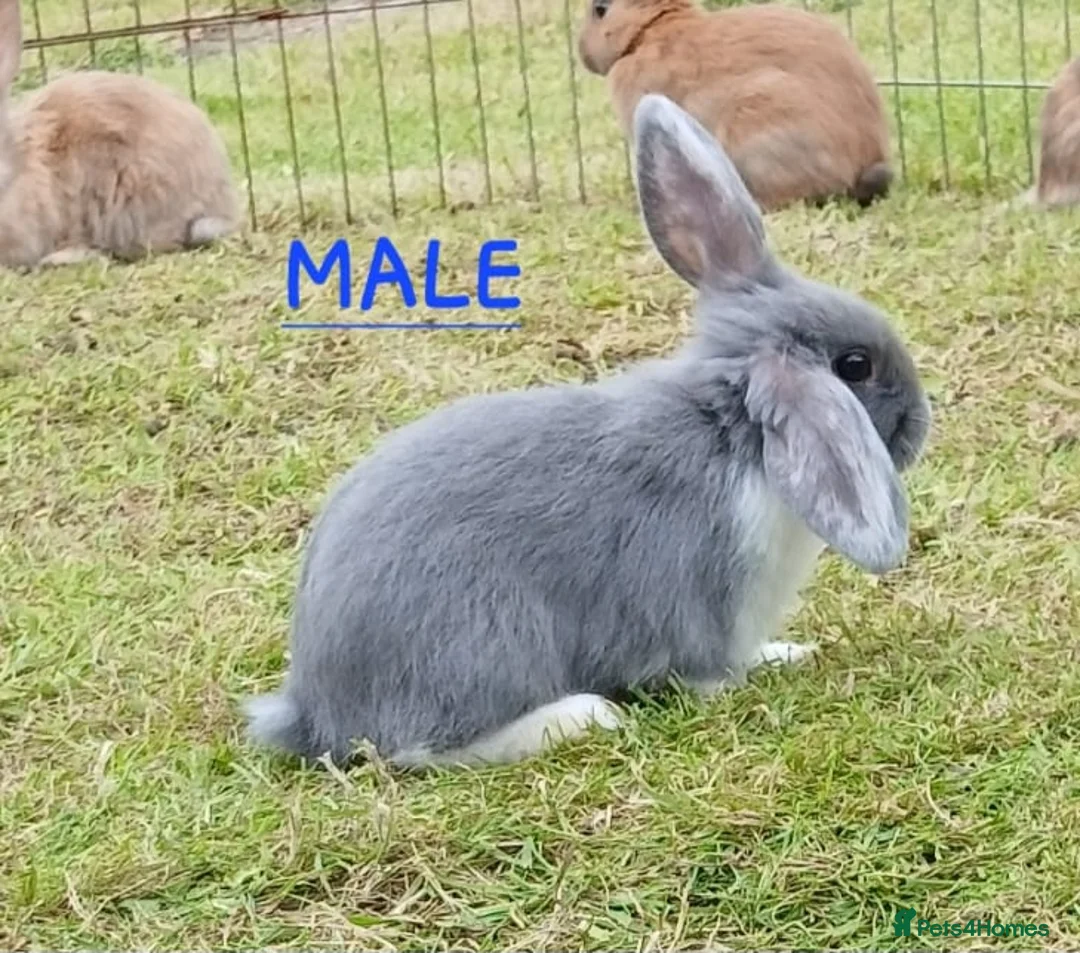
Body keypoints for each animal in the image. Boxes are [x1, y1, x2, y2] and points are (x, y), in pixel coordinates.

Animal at [244, 94, 930, 770]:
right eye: (855, 367)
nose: (920, 426)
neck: (733, 439)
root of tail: (315, 711)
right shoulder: (695, 593)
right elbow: (701, 671)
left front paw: (785, 653)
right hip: (487, 638)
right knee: (420, 747)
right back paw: (579, 717)